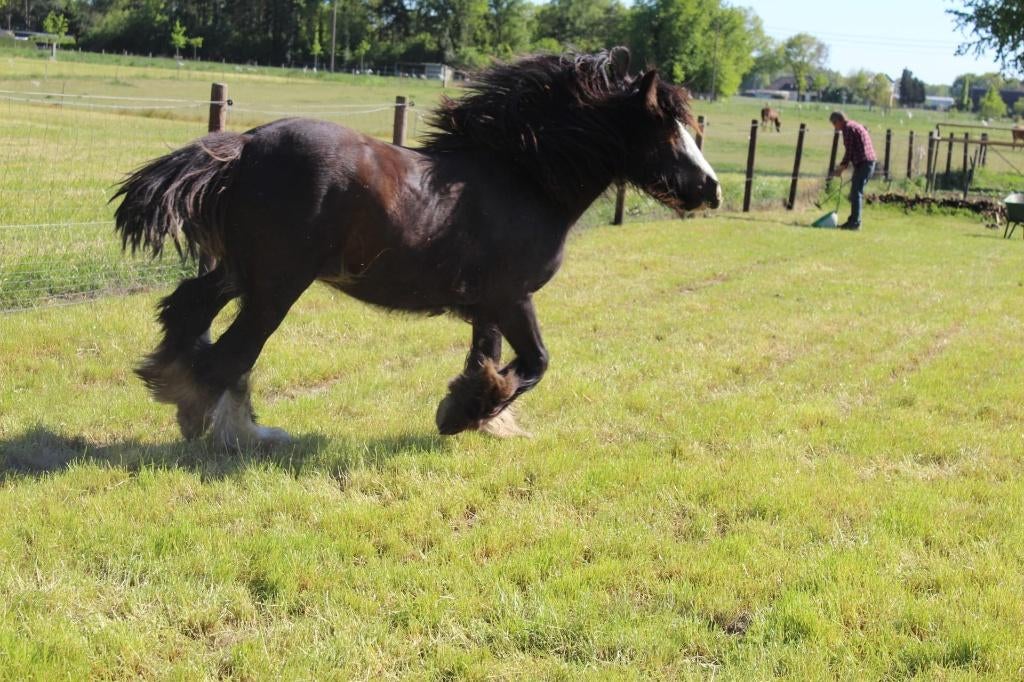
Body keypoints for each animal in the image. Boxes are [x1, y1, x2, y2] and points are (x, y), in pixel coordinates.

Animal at [112, 48, 722, 449]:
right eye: (668, 132)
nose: (712, 189)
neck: (523, 179)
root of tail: (244, 145)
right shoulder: (513, 298)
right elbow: (536, 362)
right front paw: (460, 414)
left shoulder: (487, 307)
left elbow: (488, 359)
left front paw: (480, 412)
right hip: (276, 286)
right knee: (230, 354)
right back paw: (220, 431)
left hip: (241, 273)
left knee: (190, 315)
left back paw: (206, 407)